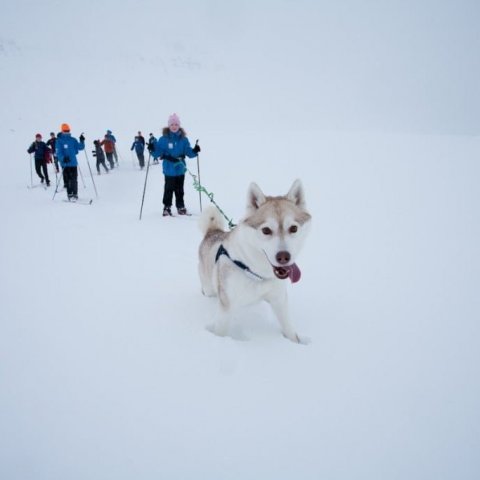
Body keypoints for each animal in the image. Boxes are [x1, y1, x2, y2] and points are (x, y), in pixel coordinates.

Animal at [198, 179, 312, 342]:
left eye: (293, 228)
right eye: (266, 230)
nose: (284, 256)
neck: (256, 273)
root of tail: (213, 232)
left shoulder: (279, 300)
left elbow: (290, 330)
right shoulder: (227, 306)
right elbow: (221, 331)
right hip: (208, 288)